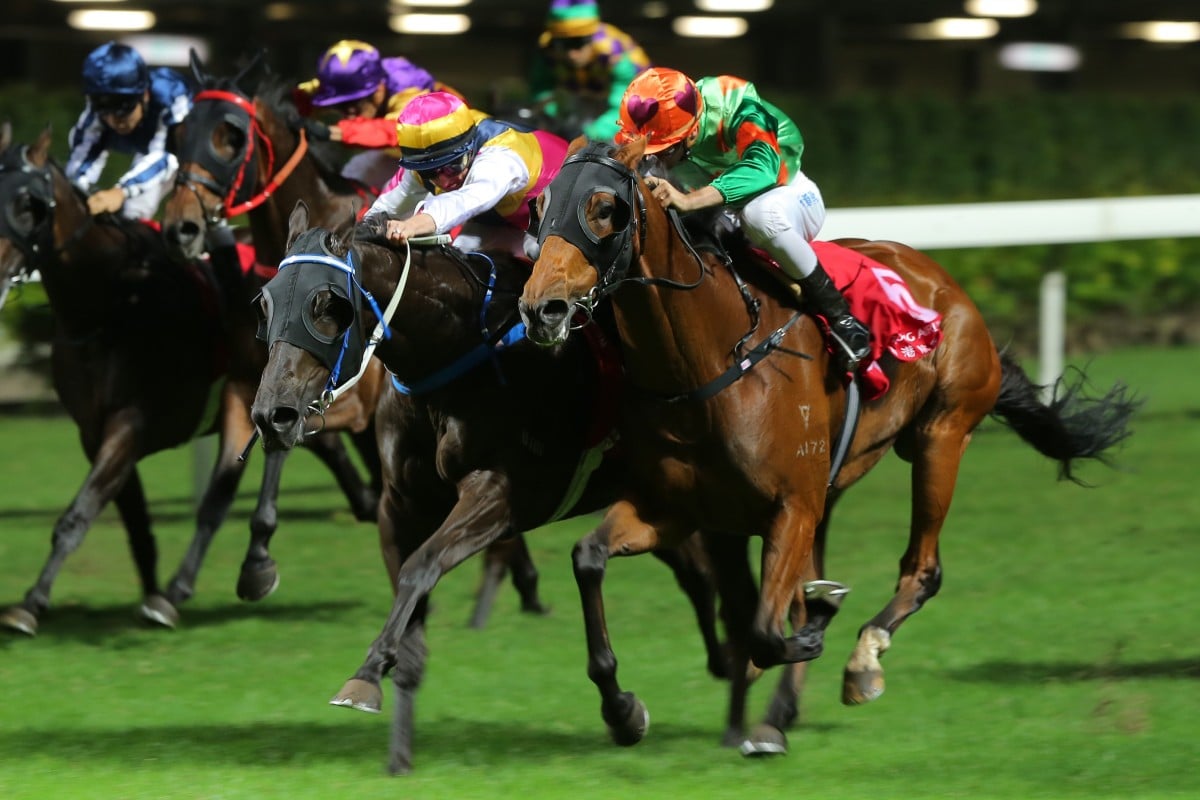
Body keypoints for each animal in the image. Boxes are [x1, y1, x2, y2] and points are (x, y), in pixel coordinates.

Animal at [159, 61, 540, 623]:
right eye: (179, 132)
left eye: (230, 136)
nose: (180, 225)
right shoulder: (246, 387)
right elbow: (222, 488)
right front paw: (174, 589)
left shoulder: (346, 400)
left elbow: (285, 445)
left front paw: (257, 563)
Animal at [247, 206, 729, 777]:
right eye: (265, 302)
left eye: (326, 305)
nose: (272, 415)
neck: (452, 360)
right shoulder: (400, 504)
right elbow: (410, 601)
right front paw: (398, 750)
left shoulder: (501, 495)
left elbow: (421, 567)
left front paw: (364, 677)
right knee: (694, 571)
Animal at [520, 136, 1137, 753]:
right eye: (540, 205)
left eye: (604, 207)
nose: (541, 308)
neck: (709, 362)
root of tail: (944, 282)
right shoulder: (681, 508)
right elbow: (592, 559)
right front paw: (625, 708)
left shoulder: (790, 506)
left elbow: (768, 629)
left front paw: (810, 634)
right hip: (833, 486)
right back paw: (774, 711)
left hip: (940, 436)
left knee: (922, 568)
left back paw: (859, 662)